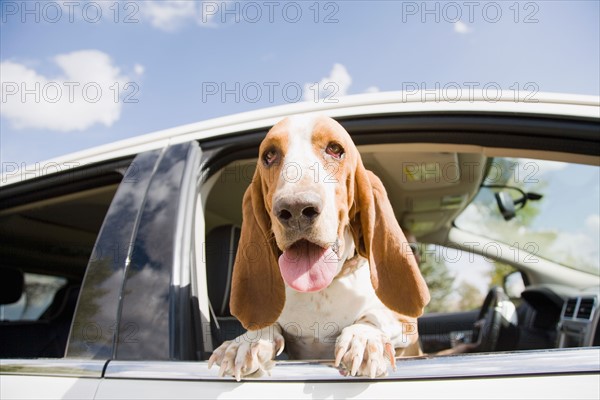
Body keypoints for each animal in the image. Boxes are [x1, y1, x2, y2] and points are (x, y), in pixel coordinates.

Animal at [209, 114, 428, 380]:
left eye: (335, 149)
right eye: (269, 155)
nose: (295, 209)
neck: (321, 291)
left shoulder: (407, 323)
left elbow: (375, 315)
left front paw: (363, 338)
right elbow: (269, 323)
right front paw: (246, 342)